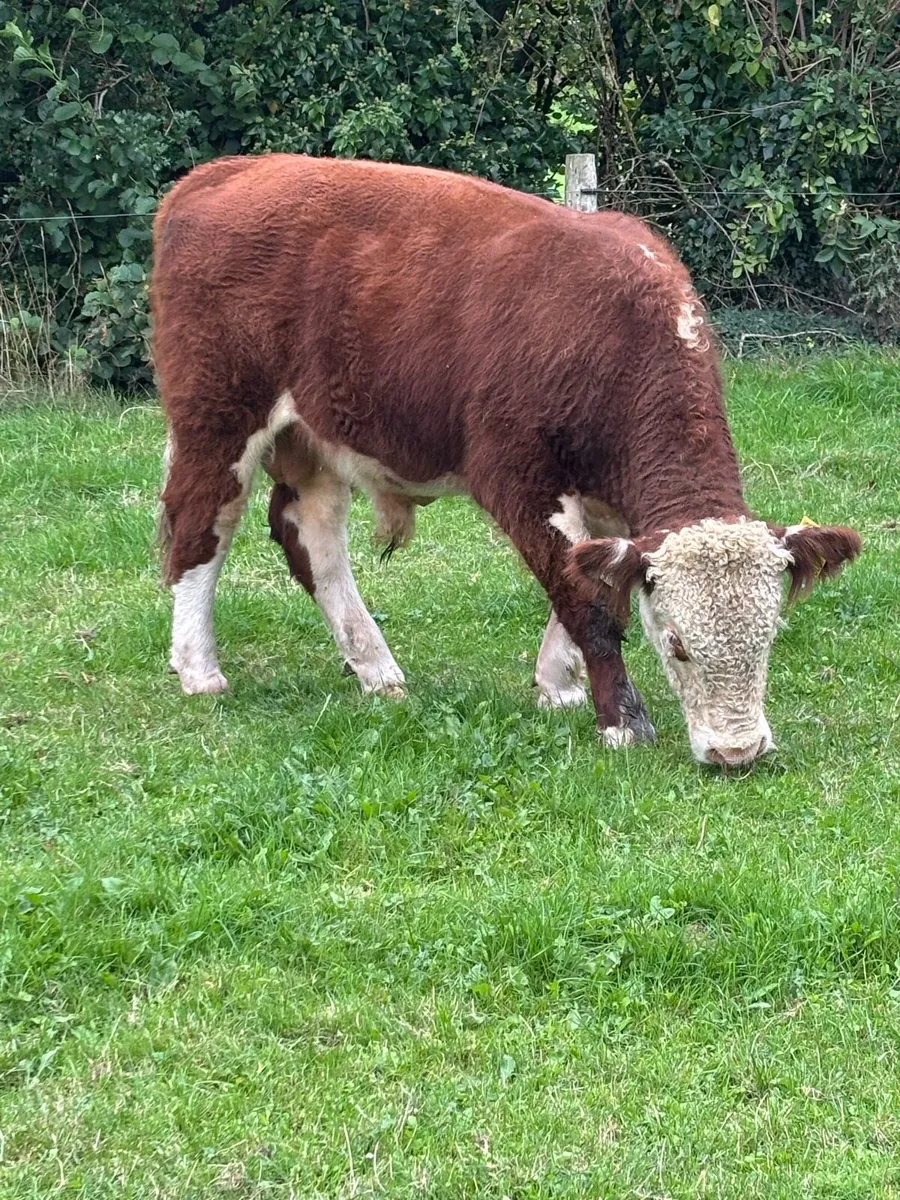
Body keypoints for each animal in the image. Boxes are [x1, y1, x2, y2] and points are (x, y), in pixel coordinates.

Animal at [151, 154, 860, 766]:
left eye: (769, 639)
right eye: (677, 645)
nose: (737, 753)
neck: (615, 336)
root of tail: (225, 171)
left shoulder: (606, 500)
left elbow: (588, 577)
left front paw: (558, 682)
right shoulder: (517, 476)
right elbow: (586, 599)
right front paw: (621, 721)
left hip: (314, 438)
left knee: (315, 543)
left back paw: (376, 670)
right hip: (217, 416)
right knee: (200, 529)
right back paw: (199, 667)